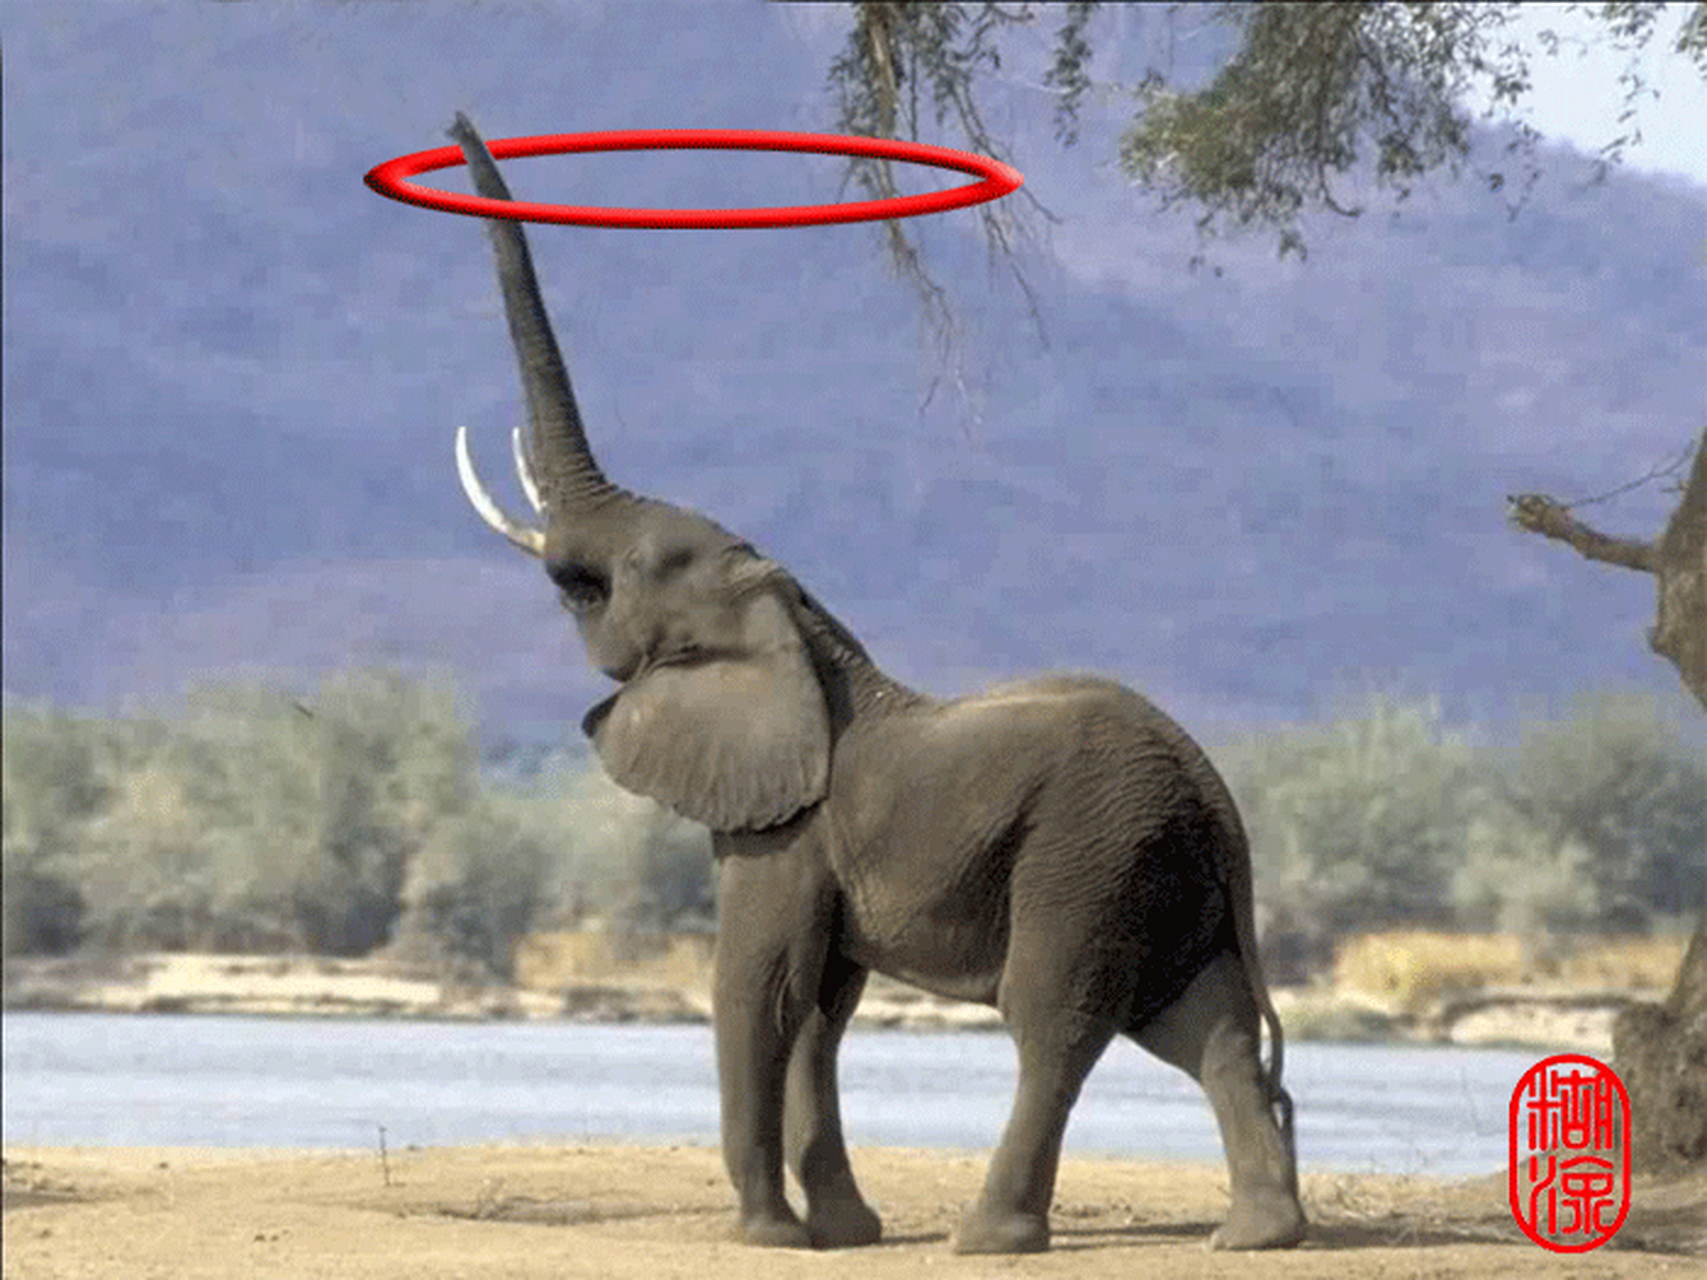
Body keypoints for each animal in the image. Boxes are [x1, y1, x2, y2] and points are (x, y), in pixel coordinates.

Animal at [442, 113, 1306, 1255]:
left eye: (613, 578)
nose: (455, 123)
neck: (796, 624)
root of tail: (1217, 797)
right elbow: (820, 1006)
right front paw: (842, 1231)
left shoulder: (782, 825)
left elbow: (760, 987)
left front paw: (765, 1237)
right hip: (1164, 867)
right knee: (1203, 1022)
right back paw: (1259, 1235)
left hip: (1090, 851)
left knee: (1056, 1019)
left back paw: (990, 1237)